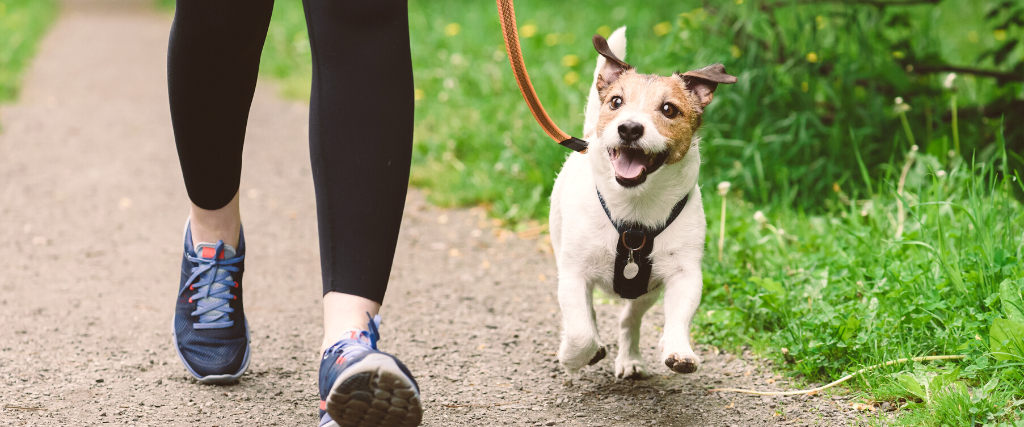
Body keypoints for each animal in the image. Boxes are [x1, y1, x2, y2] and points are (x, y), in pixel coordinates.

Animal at [552, 26, 737, 376]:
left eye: (668, 109)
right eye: (616, 102)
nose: (629, 128)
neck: (634, 210)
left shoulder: (684, 273)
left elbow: (678, 316)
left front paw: (679, 350)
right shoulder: (573, 273)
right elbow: (581, 330)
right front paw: (574, 356)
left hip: (645, 292)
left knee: (629, 319)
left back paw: (630, 359)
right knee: (588, 315)